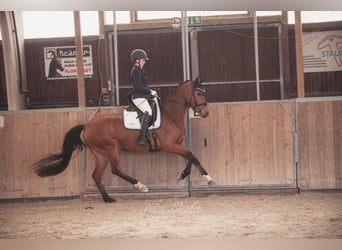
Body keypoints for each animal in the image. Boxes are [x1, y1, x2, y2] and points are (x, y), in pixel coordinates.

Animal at [31, 78, 214, 203]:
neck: (170, 115)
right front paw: (197, 176)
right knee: (116, 170)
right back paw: (140, 186)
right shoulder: (169, 146)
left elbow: (191, 156)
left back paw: (108, 199)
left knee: (96, 175)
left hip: (101, 154)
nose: (205, 113)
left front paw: (190, 175)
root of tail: (86, 126)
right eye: (199, 93)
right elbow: (191, 155)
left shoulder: (178, 145)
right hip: (111, 148)